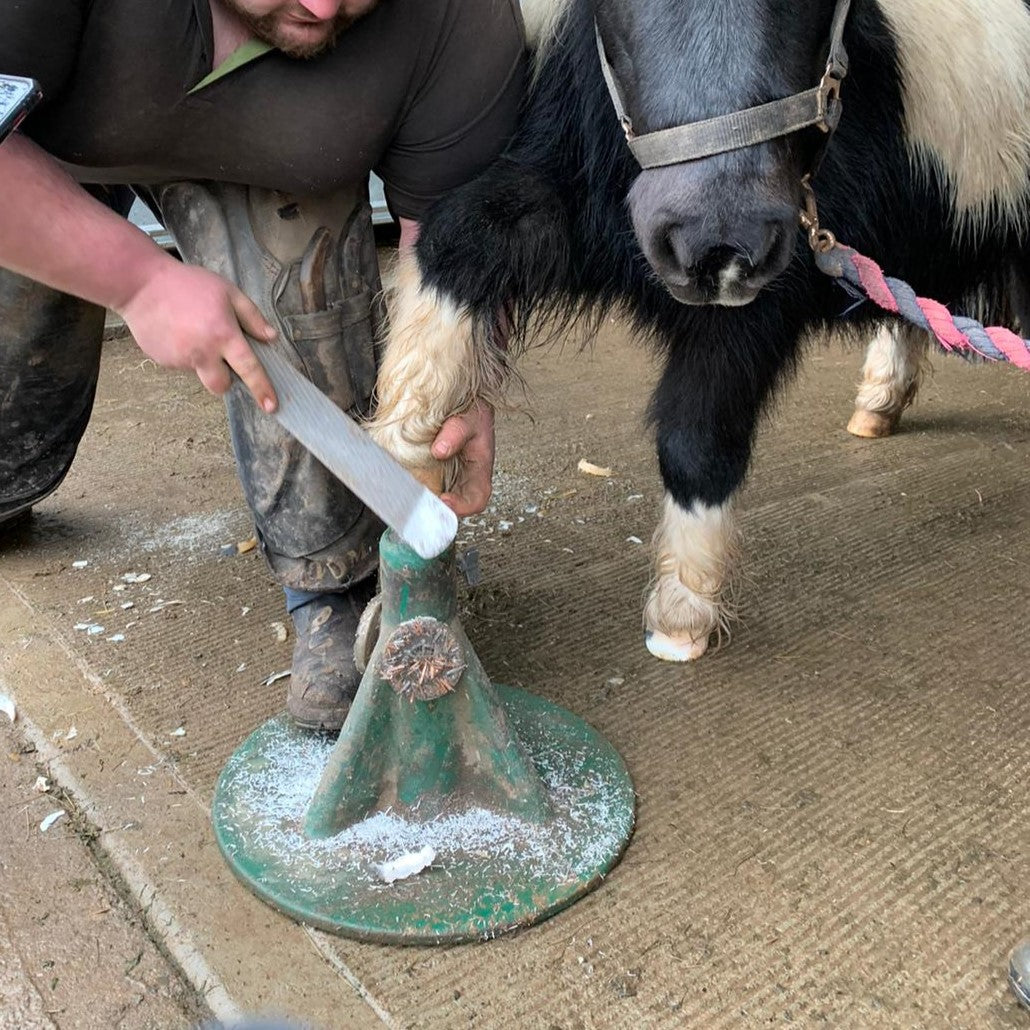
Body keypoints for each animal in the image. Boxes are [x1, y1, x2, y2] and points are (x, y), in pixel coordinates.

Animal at [370, 0, 1030, 659]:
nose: (717, 246)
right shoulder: (561, 183)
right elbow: (459, 236)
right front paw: (408, 451)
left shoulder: (752, 307)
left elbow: (698, 439)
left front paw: (682, 610)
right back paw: (878, 404)